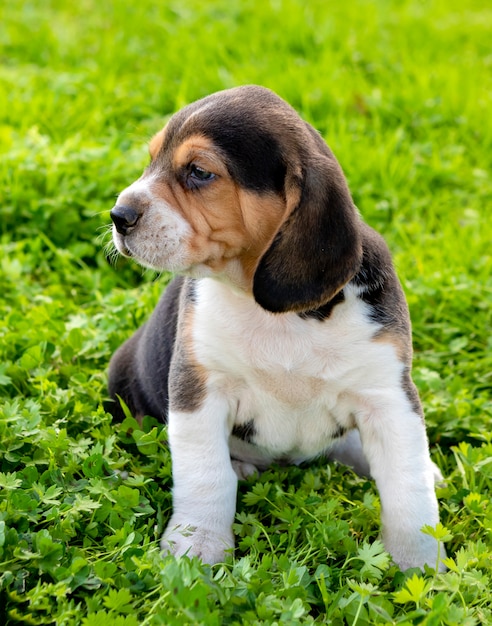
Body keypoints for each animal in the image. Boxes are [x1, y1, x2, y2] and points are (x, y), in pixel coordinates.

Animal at [108, 84, 446, 572]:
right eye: (152, 158)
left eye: (198, 172)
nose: (118, 215)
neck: (272, 312)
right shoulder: (198, 389)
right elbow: (206, 475)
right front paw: (197, 547)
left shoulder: (387, 395)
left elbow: (407, 487)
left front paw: (421, 564)